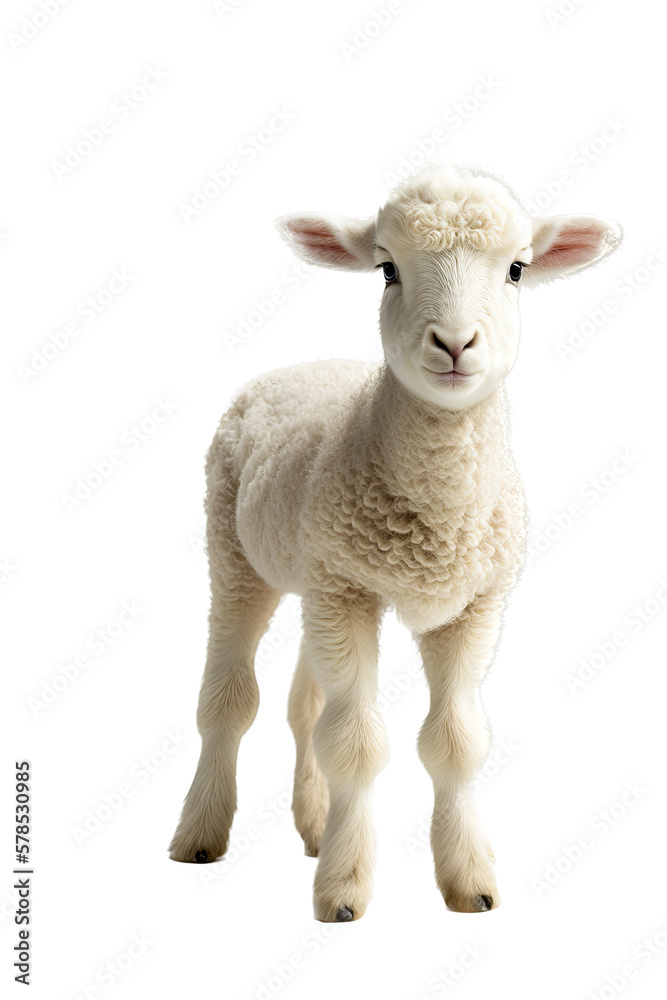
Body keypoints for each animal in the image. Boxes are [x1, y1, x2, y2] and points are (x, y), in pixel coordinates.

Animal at [169, 164, 622, 921]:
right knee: (230, 700)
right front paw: (344, 890)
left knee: (304, 705)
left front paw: (469, 879)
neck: (437, 515)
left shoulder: (472, 605)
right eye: (387, 270)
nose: (455, 344)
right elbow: (354, 743)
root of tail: (304, 365)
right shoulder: (348, 592)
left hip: (315, 576)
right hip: (236, 554)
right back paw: (200, 832)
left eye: (517, 269)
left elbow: (456, 742)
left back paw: (314, 824)